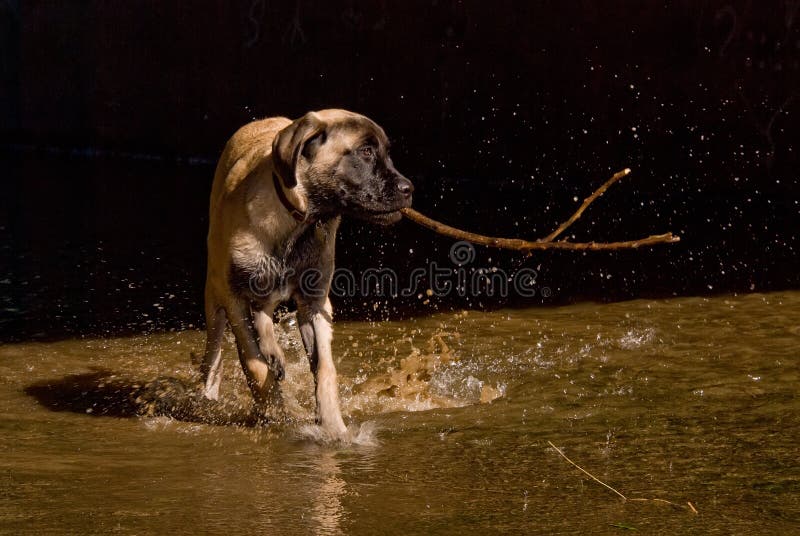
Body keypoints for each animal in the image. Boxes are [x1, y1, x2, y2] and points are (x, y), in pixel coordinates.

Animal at [200, 108, 412, 436]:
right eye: (365, 151)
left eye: (387, 154)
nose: (408, 189)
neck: (297, 222)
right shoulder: (234, 300)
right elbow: (254, 364)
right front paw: (274, 411)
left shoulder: (315, 303)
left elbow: (325, 369)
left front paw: (333, 425)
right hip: (216, 299)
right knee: (214, 355)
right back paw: (208, 393)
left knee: (263, 312)